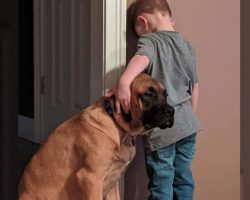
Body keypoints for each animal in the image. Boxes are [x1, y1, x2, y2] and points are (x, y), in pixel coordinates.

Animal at [18, 73, 175, 200]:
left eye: (165, 95)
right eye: (148, 94)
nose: (171, 111)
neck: (118, 127)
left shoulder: (112, 183)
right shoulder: (90, 178)